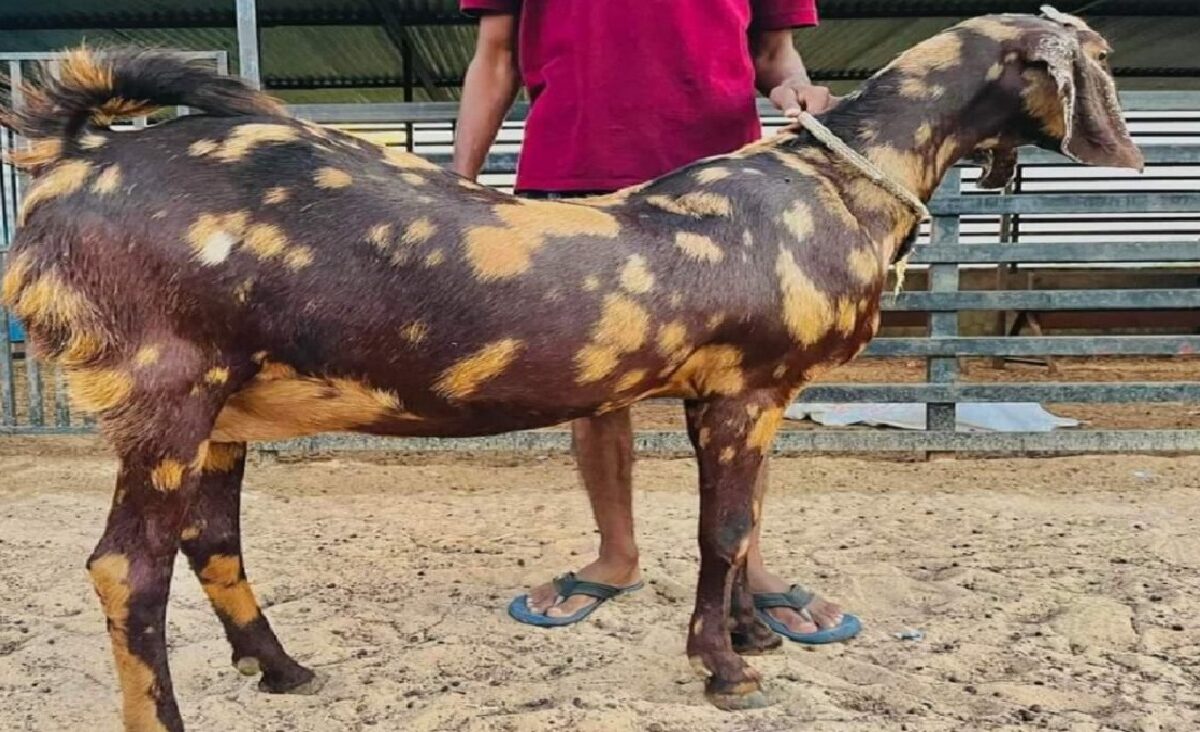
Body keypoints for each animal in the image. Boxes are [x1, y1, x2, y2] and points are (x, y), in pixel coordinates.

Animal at [1, 9, 1140, 730]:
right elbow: (723, 530)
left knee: (211, 540)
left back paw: (283, 671)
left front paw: (752, 636)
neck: (828, 183)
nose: (1126, 155)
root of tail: (74, 155)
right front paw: (726, 670)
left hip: (225, 407)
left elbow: (740, 527)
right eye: (1100, 58)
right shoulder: (746, 390)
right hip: (163, 389)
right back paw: (171, 718)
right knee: (128, 569)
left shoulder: (736, 398)